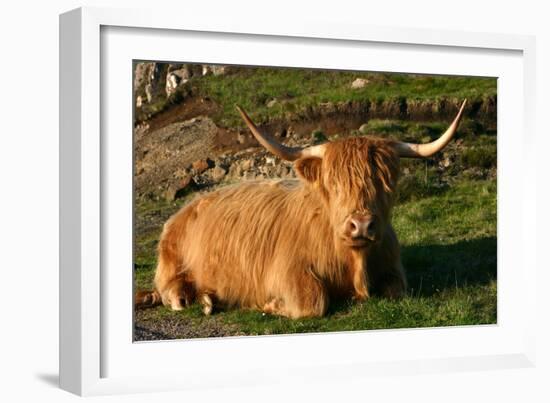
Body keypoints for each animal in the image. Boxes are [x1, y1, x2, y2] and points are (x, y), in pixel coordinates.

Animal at [136, 100, 468, 318]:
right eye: (333, 183)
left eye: (385, 182)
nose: (361, 225)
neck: (353, 262)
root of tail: (184, 210)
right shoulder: (287, 272)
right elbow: (313, 302)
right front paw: (271, 305)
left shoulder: (393, 267)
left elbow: (397, 290)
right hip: (171, 263)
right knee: (170, 292)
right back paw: (194, 299)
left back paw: (209, 299)